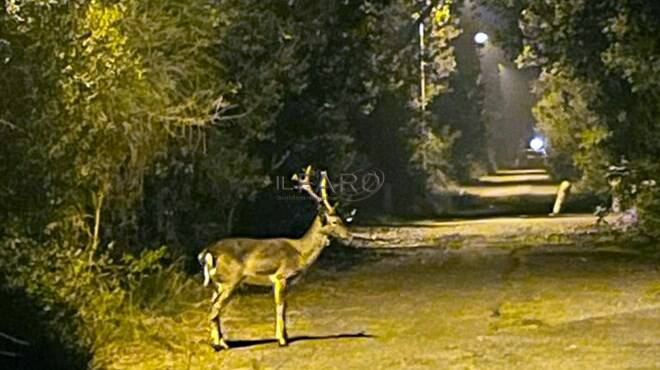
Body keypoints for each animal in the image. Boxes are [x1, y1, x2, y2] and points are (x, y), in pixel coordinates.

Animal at [199, 166, 354, 352]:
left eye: (343, 219)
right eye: (334, 221)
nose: (350, 235)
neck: (300, 253)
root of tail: (208, 252)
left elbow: (284, 307)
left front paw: (285, 336)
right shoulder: (280, 276)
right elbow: (281, 307)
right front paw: (282, 340)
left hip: (218, 283)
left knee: (213, 307)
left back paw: (222, 342)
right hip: (231, 280)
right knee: (214, 309)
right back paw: (218, 344)